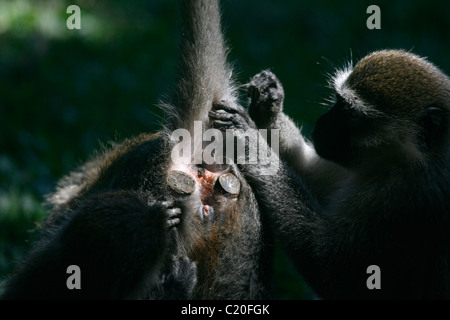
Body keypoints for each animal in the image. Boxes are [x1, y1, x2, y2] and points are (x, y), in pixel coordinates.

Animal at [211, 49, 450, 298]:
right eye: (338, 101)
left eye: (350, 112)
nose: (322, 123)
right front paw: (268, 105)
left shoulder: (400, 198)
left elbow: (330, 271)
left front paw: (251, 143)